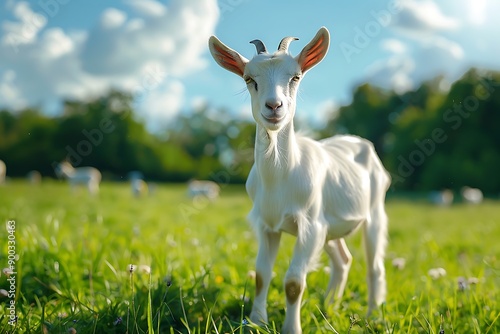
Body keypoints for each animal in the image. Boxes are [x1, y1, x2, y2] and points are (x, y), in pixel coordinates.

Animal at [209, 27, 392, 332]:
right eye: (249, 79)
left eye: (295, 77)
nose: (274, 106)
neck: (279, 179)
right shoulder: (268, 225)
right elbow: (261, 274)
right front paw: (256, 322)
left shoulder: (310, 226)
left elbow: (294, 283)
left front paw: (290, 328)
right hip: (330, 225)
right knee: (343, 260)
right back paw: (329, 308)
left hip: (374, 212)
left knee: (374, 265)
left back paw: (373, 314)